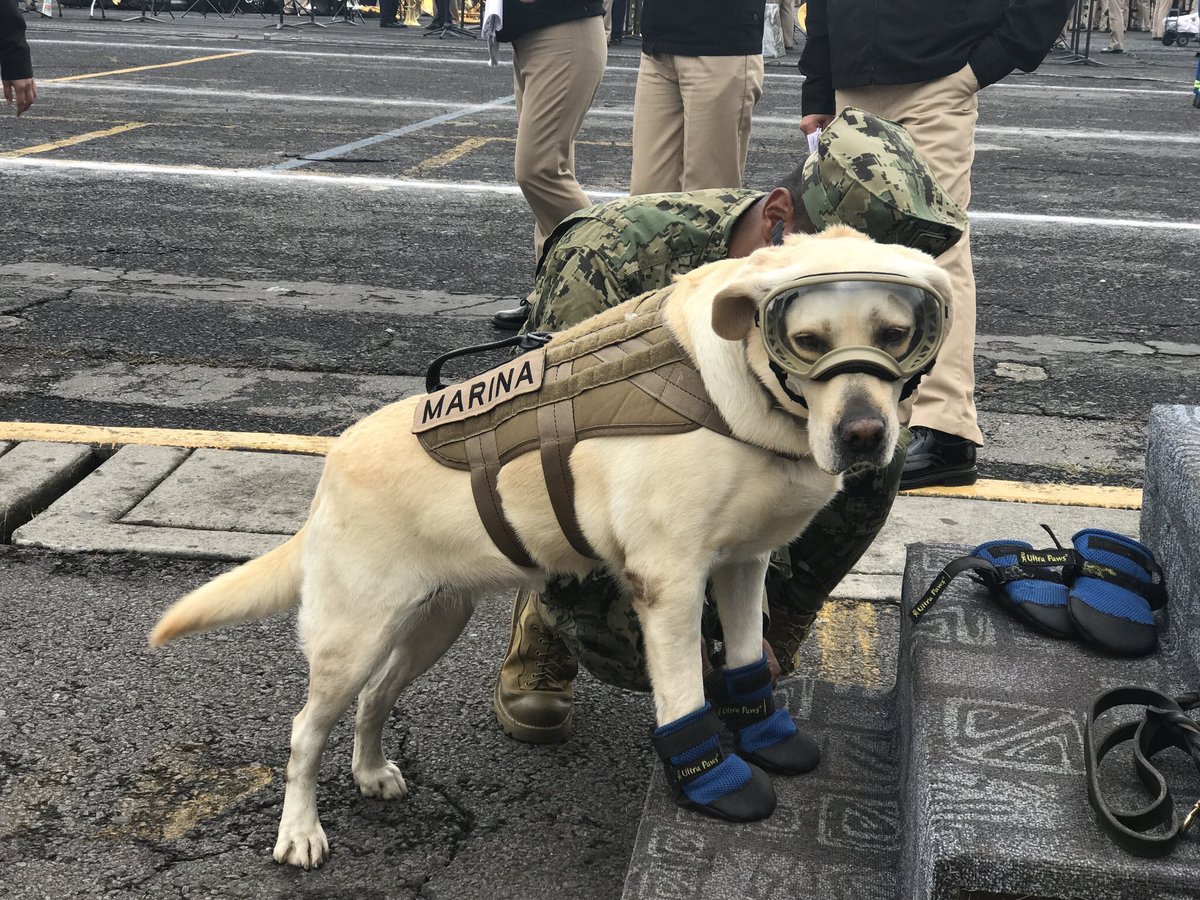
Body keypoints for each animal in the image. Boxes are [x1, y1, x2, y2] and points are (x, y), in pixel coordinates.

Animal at [150, 229, 950, 868]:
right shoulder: (669, 583)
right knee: (302, 732)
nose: (864, 436)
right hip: (351, 637)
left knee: (376, 699)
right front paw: (715, 783)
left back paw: (373, 772)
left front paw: (769, 737)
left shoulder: (742, 566)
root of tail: (330, 469)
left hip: (432, 622)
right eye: (808, 342)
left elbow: (748, 659)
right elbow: (686, 694)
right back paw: (300, 831)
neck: (742, 394)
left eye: (895, 335)